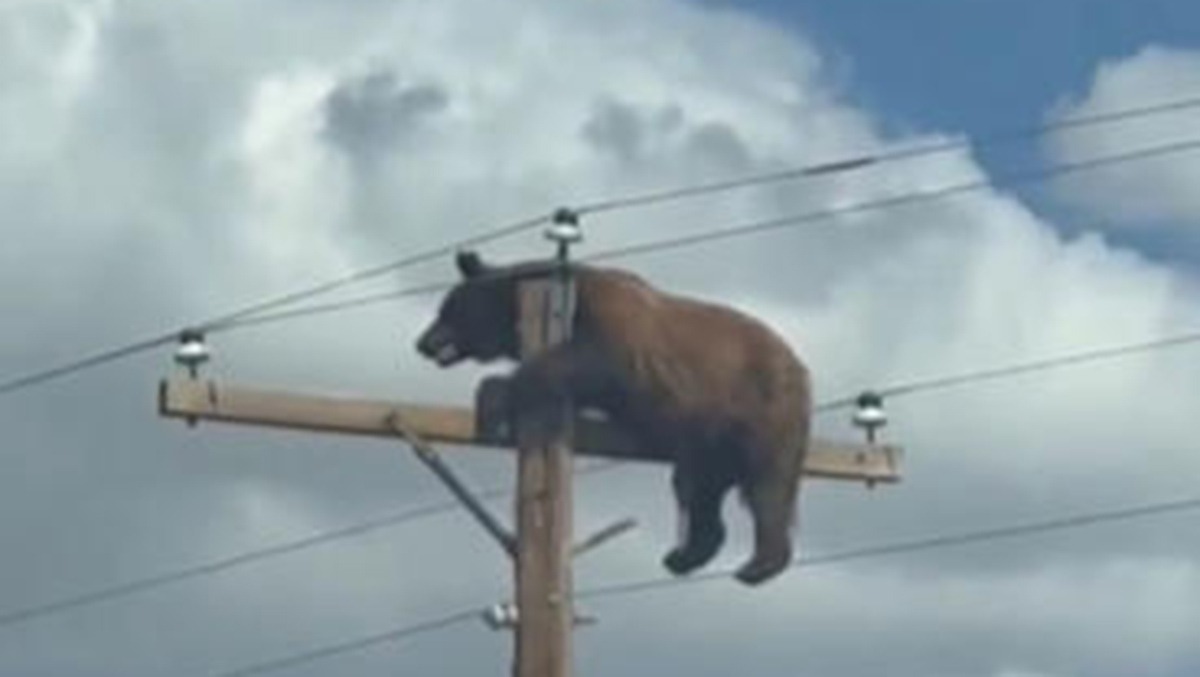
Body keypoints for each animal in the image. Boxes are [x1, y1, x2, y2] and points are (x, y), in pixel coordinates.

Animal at [415, 250, 811, 585]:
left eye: (447, 309)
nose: (422, 342)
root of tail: (800, 367)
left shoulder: (615, 326)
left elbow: (589, 361)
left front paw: (491, 399)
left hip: (762, 408)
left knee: (767, 482)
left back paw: (760, 563)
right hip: (708, 440)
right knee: (698, 489)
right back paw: (684, 555)